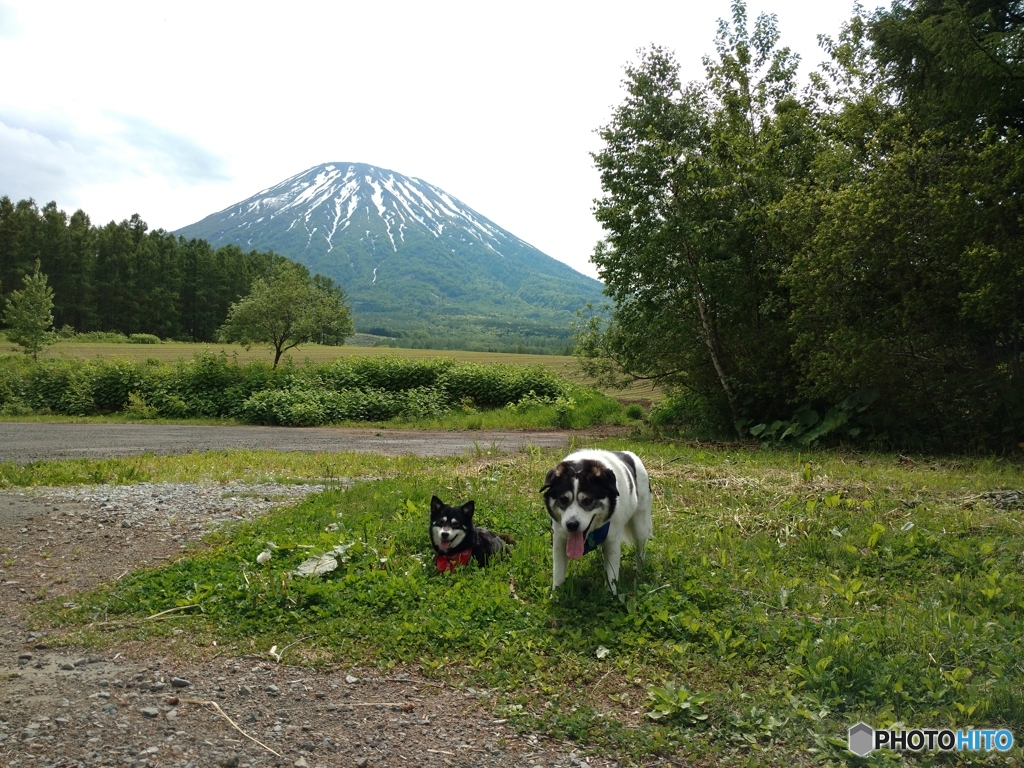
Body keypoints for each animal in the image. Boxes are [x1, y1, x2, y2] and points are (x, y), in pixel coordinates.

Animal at [540, 448, 651, 598]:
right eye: (563, 500)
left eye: (587, 501)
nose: (572, 525)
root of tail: (628, 453)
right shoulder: (559, 539)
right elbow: (558, 572)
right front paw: (556, 596)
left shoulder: (612, 541)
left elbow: (612, 573)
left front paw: (610, 596)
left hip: (641, 522)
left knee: (641, 548)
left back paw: (639, 571)